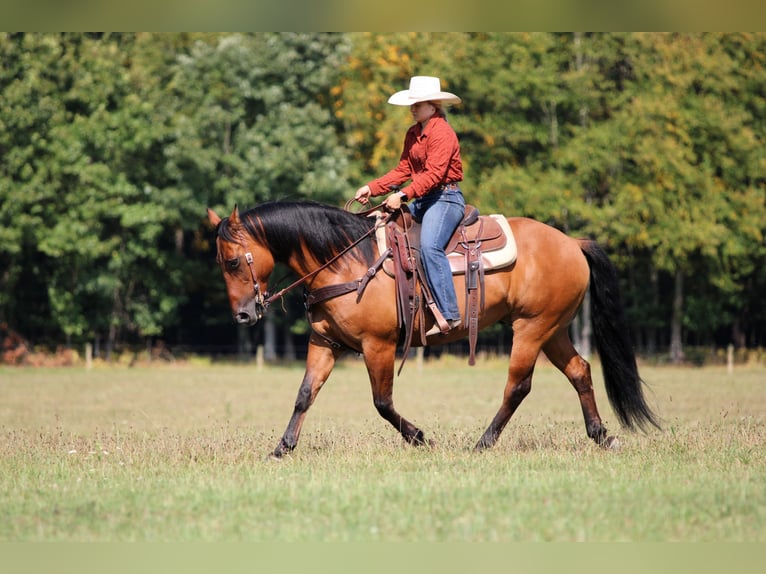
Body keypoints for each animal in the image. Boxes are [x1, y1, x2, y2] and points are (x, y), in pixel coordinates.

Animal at [207, 200, 659, 458]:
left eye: (232, 261)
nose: (243, 316)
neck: (347, 261)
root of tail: (572, 243)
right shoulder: (324, 342)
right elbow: (304, 395)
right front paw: (281, 448)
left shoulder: (378, 345)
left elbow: (382, 402)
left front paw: (421, 438)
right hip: (555, 330)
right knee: (580, 371)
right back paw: (602, 436)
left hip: (532, 330)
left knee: (518, 386)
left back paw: (483, 443)